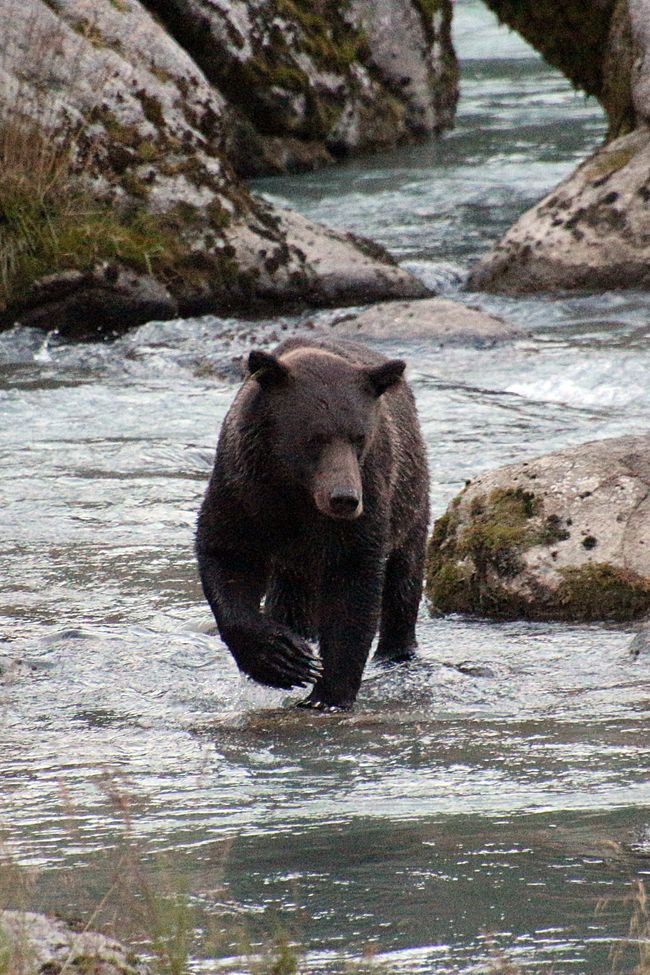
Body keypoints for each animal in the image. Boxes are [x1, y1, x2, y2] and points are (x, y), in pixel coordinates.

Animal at [197, 336, 430, 708]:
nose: (344, 498)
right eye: (314, 437)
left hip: (409, 498)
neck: (297, 493)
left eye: (359, 436)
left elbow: (353, 587)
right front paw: (281, 659)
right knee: (292, 597)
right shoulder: (243, 489)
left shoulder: (366, 502)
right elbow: (228, 555)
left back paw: (396, 651)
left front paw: (327, 694)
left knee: (403, 578)